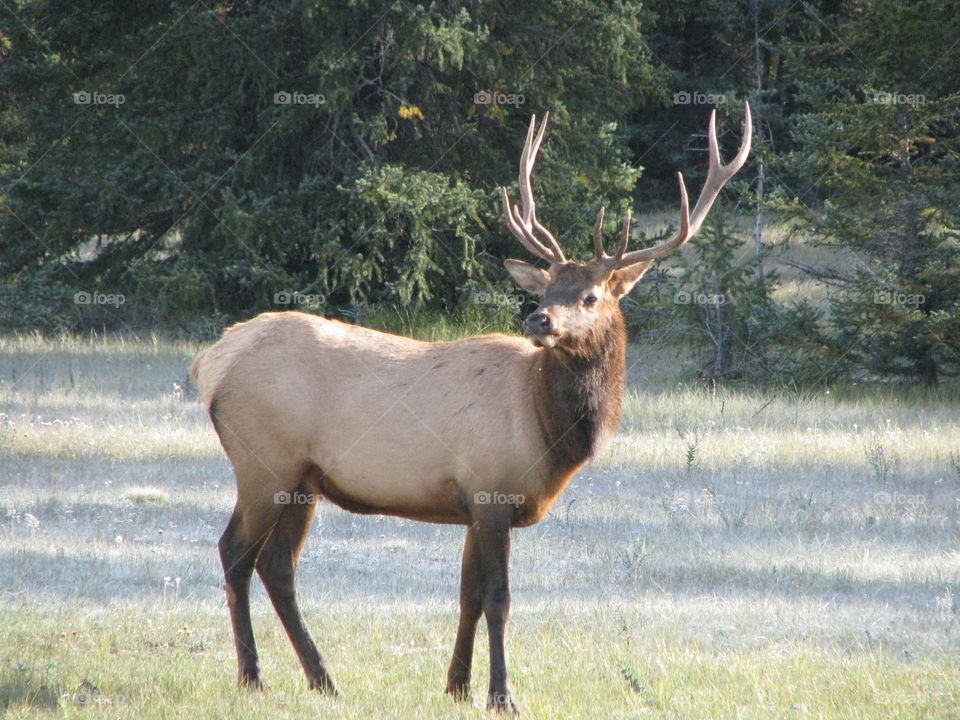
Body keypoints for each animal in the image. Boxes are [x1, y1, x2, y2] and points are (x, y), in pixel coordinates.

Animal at [189, 104, 752, 712]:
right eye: (547, 288)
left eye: (590, 295)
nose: (538, 319)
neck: (548, 431)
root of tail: (210, 363)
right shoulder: (492, 490)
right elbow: (498, 599)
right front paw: (501, 695)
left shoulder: (472, 502)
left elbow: (468, 595)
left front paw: (456, 686)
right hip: (263, 462)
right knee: (235, 553)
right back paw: (253, 676)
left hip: (303, 479)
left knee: (277, 566)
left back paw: (323, 679)